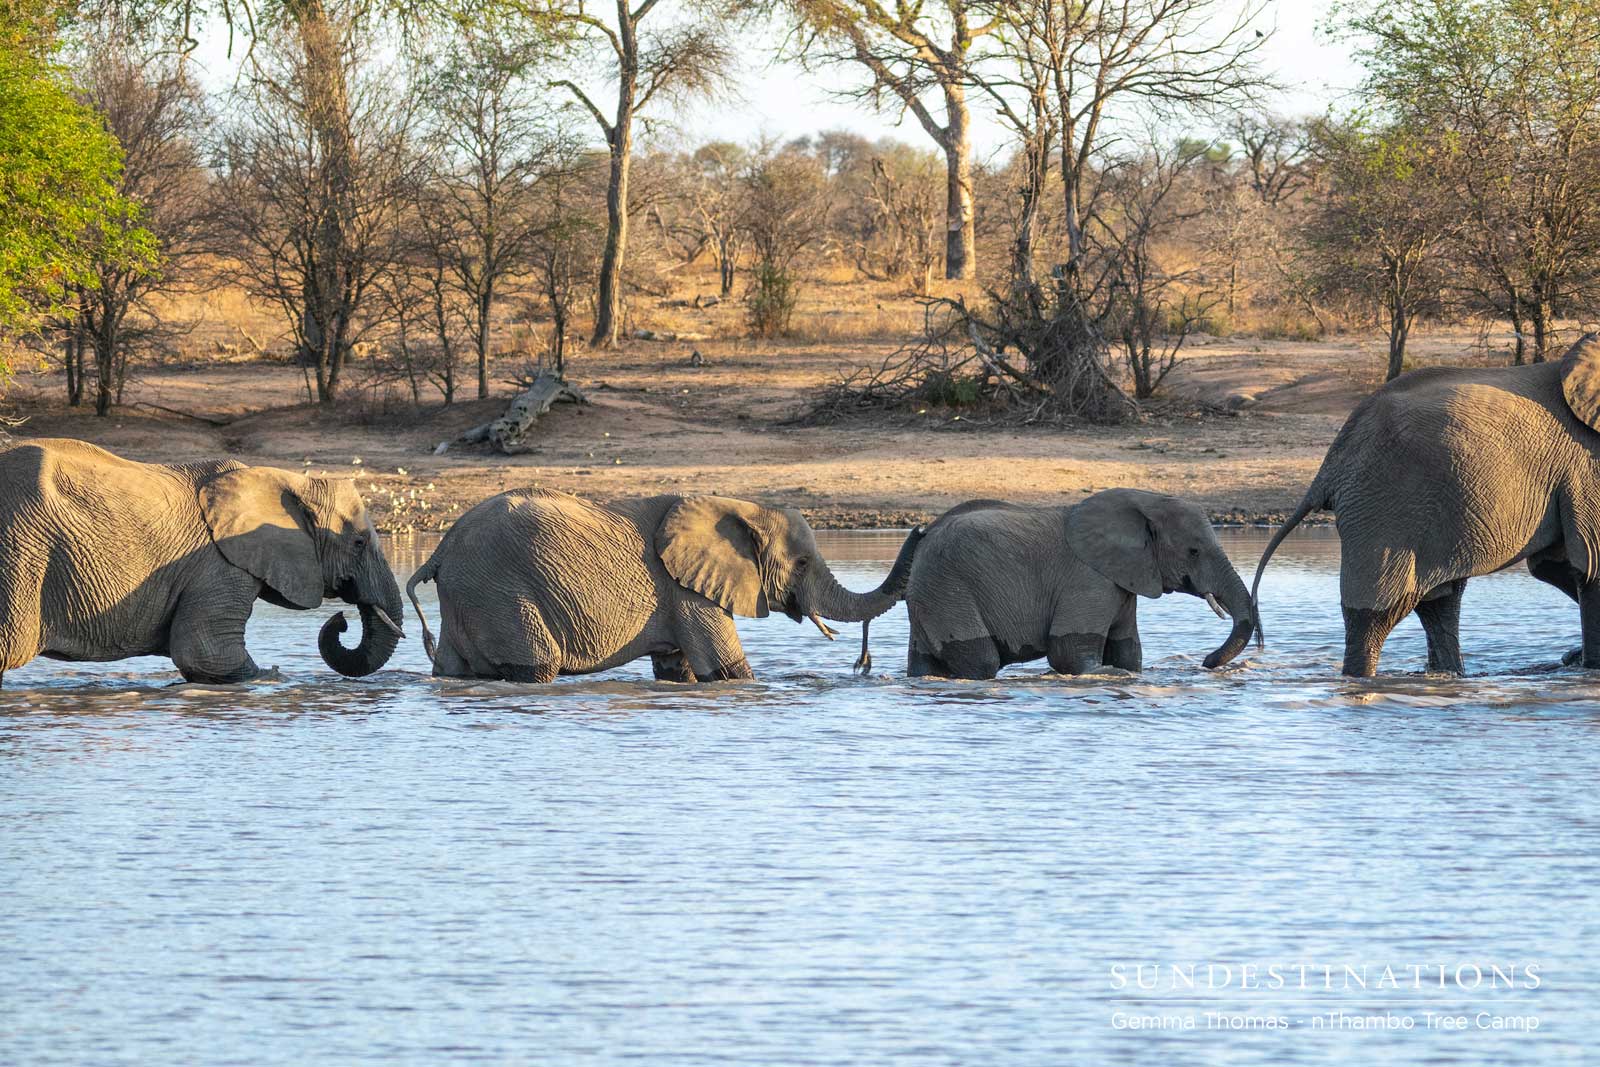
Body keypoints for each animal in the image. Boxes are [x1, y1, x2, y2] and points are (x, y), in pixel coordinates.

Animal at [0, 438, 404, 686]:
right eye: (359, 543)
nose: (340, 621)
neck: (286, 479)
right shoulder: (220, 566)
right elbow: (208, 654)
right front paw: (274, 677)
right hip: (20, 551)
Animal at [405, 488, 923, 682]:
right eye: (800, 562)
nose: (918, 529)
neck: (739, 505)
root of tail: (441, 550)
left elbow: (680, 671)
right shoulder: (689, 594)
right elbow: (729, 670)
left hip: (467, 596)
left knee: (453, 670)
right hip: (500, 593)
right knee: (537, 666)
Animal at [900, 490, 1259, 679]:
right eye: (1194, 551)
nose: (1207, 661)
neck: (1144, 500)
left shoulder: (1123, 582)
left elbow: (1128, 652)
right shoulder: (1089, 581)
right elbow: (1070, 653)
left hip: (931, 597)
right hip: (948, 589)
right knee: (981, 659)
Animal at [1252, 334, 1600, 677]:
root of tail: (1331, 462)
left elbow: (1556, 565)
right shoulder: (1587, 465)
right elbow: (1589, 564)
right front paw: (1589, 668)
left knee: (1439, 601)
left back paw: (1448, 675)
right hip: (1386, 502)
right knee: (1377, 612)